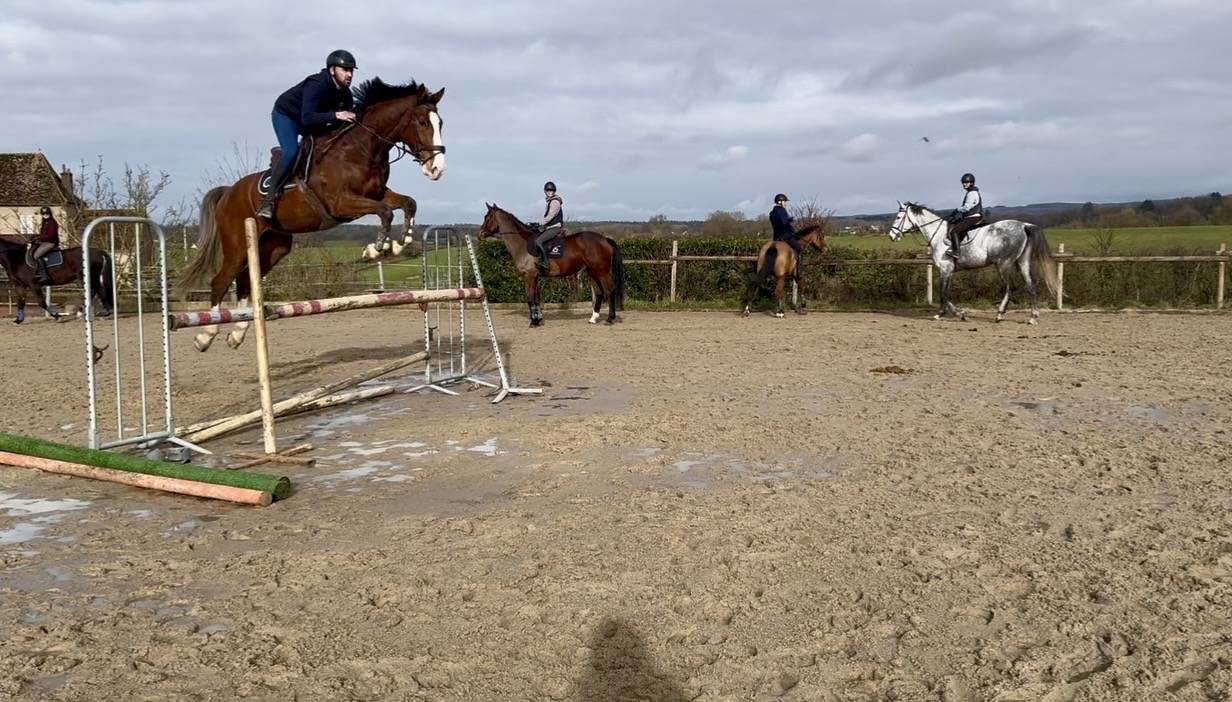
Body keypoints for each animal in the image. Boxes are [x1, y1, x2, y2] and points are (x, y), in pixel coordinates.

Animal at [174, 78, 447, 352]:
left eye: (440, 123)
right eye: (422, 122)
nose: (437, 169)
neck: (360, 150)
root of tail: (228, 192)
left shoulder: (379, 194)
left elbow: (408, 203)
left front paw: (402, 243)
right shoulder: (341, 204)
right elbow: (386, 212)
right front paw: (376, 249)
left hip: (273, 246)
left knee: (243, 282)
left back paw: (237, 334)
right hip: (238, 244)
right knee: (221, 281)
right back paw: (205, 336)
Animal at [478, 204, 625, 327]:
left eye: (488, 217)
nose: (480, 235)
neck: (522, 244)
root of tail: (605, 239)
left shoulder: (529, 276)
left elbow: (530, 298)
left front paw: (534, 322)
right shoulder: (534, 277)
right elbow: (536, 298)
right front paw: (538, 319)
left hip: (601, 272)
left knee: (610, 290)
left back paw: (610, 319)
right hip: (592, 271)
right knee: (599, 292)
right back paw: (593, 318)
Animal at [889, 202, 1058, 324]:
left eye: (898, 217)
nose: (891, 236)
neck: (937, 234)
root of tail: (1024, 225)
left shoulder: (945, 269)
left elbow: (943, 293)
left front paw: (946, 314)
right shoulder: (948, 271)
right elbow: (945, 292)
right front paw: (959, 314)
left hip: (1003, 264)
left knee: (1010, 287)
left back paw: (1000, 315)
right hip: (1022, 262)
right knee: (1030, 286)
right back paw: (1032, 317)